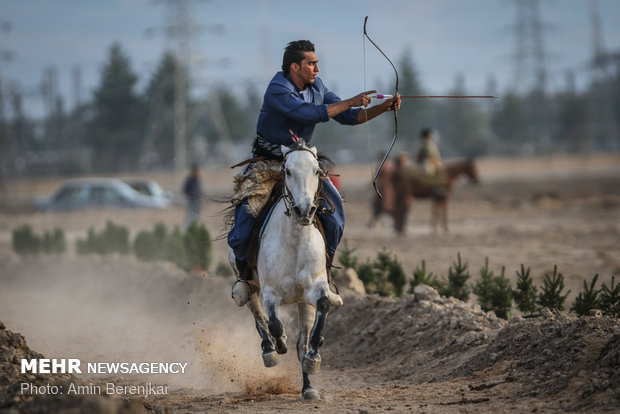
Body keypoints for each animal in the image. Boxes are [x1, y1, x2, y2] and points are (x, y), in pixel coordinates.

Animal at [229, 140, 344, 402]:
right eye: (288, 171)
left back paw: (308, 387)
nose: (304, 210)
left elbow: (321, 311)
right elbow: (274, 323)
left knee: (301, 341)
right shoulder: (270, 292)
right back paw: (269, 350)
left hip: (303, 301)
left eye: (316, 171)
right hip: (249, 285)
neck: (294, 239)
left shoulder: (315, 288)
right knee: (256, 313)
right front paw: (279, 342)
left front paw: (313, 358)